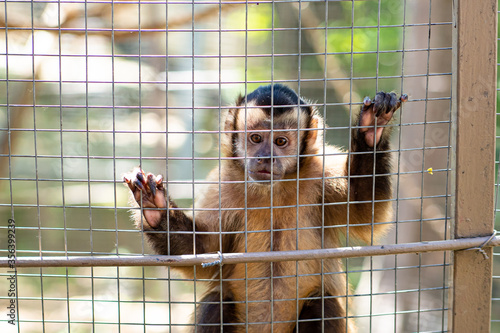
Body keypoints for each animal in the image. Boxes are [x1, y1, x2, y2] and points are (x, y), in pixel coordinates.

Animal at [124, 83, 406, 332]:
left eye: (280, 141)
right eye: (256, 138)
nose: (265, 157)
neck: (272, 190)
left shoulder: (321, 172)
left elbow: (366, 212)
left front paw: (371, 131)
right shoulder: (222, 184)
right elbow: (202, 251)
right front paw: (155, 209)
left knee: (323, 305)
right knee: (215, 304)